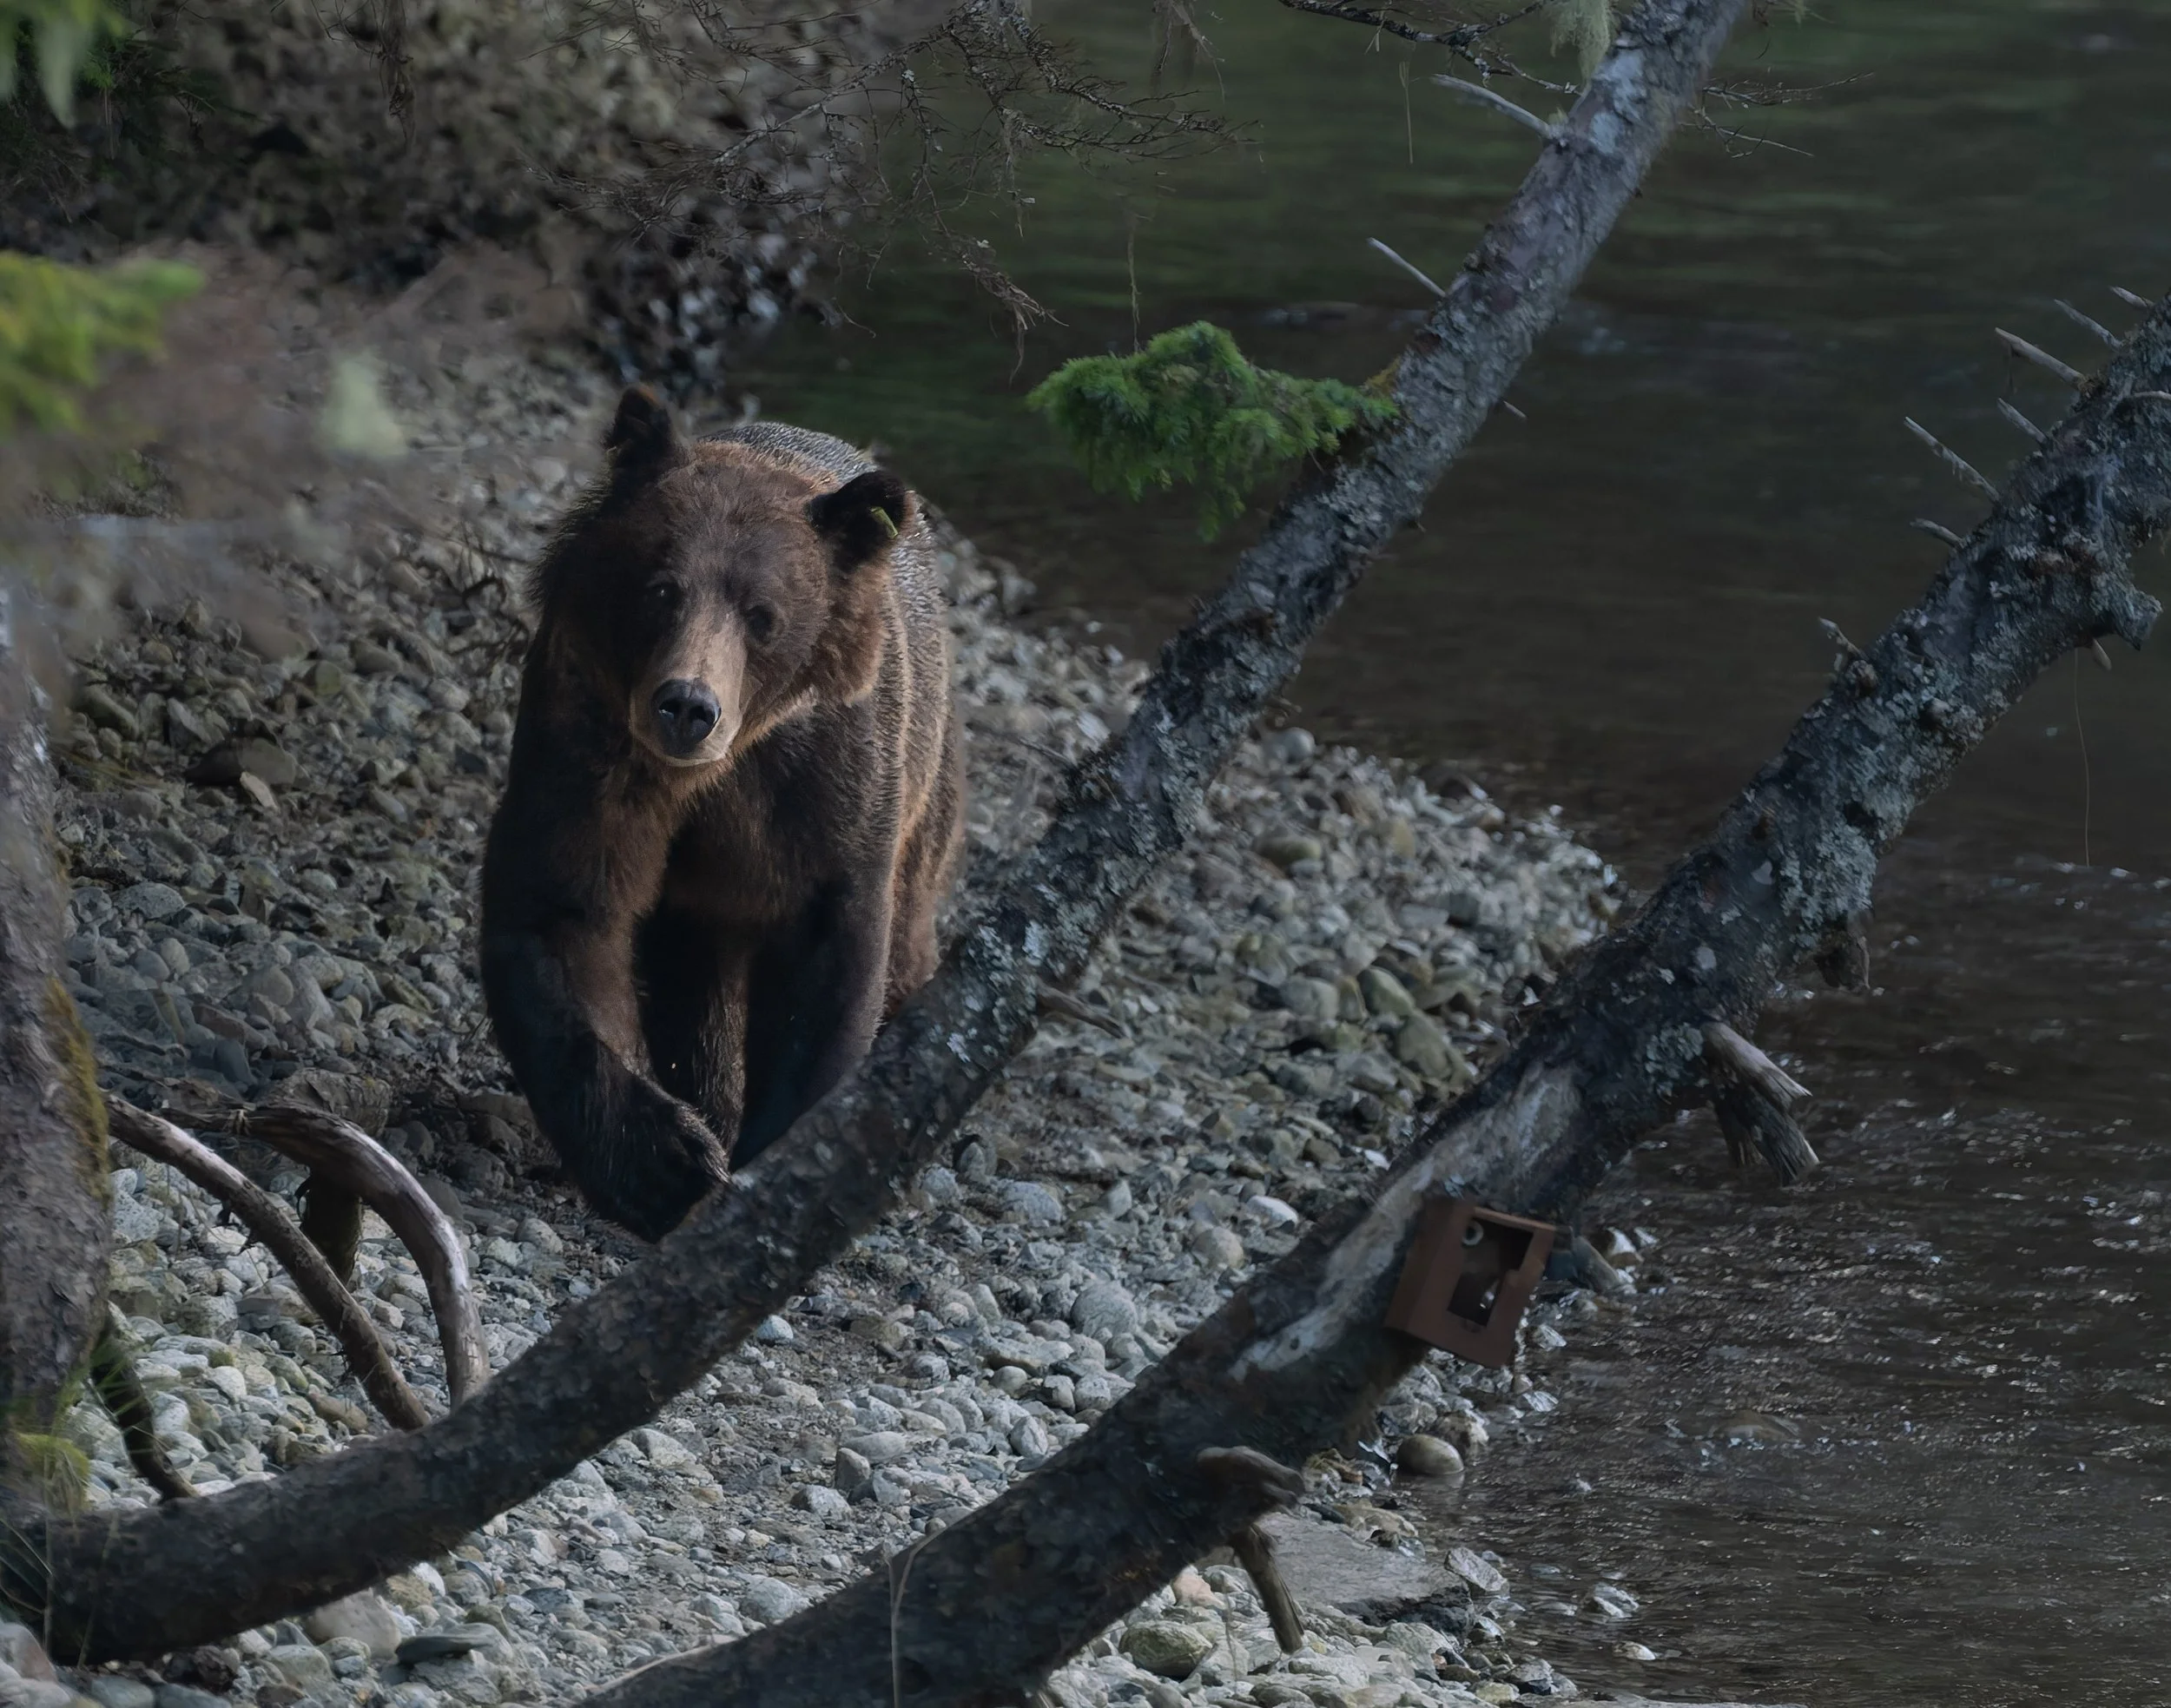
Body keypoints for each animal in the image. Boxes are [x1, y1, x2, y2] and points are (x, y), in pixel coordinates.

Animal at [479, 385, 964, 1240]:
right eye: (660, 586)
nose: (687, 706)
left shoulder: (820, 794)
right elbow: (563, 913)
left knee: (906, 939)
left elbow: (826, 970)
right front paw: (663, 1160)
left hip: (923, 787)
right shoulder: (585, 747)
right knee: (689, 978)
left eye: (763, 613)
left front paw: (765, 1164)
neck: (711, 779)